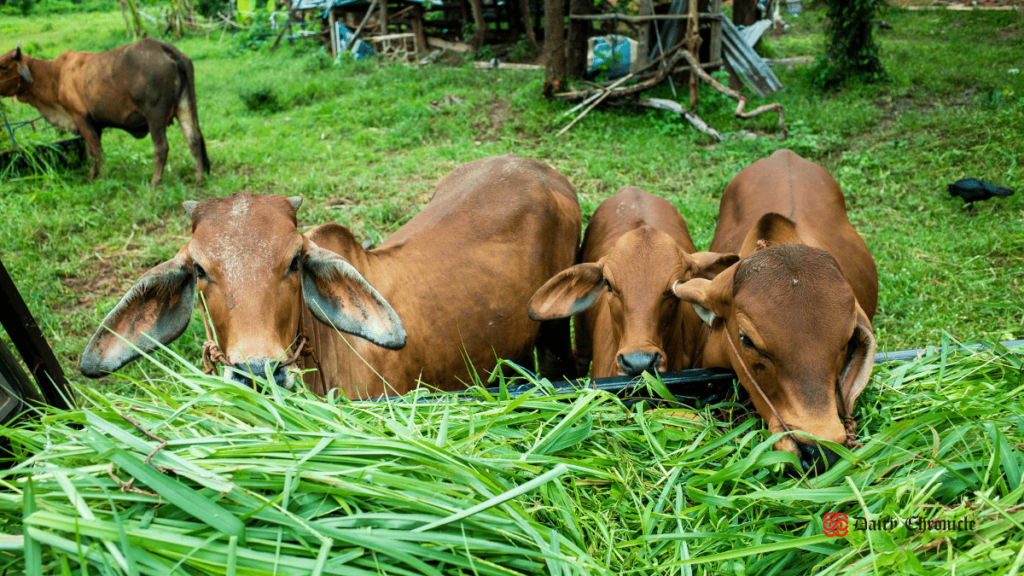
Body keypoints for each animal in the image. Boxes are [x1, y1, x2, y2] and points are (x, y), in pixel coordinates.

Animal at [0, 38, 209, 184]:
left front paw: (101, 178)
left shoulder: (80, 118)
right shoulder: (94, 124)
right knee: (194, 138)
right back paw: (200, 179)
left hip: (155, 116)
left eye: (3, 66)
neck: (55, 75)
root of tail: (161, 46)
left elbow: (96, 151)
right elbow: (92, 152)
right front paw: (92, 177)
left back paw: (155, 182)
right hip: (184, 105)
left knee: (162, 147)